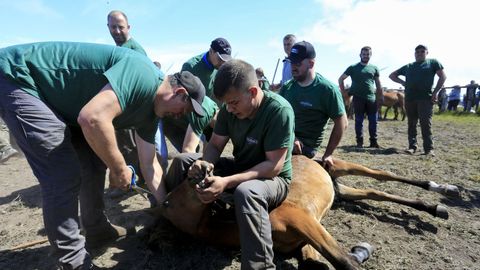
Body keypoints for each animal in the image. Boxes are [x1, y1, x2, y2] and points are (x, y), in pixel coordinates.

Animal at [155, 156, 458, 270]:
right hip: (341, 189)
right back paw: (435, 207)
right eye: (184, 184)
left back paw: (442, 189)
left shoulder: (304, 222)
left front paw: (359, 253)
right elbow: (325, 263)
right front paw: (361, 251)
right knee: (375, 192)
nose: (204, 168)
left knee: (383, 175)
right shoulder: (303, 240)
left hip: (342, 165)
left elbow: (343, 260)